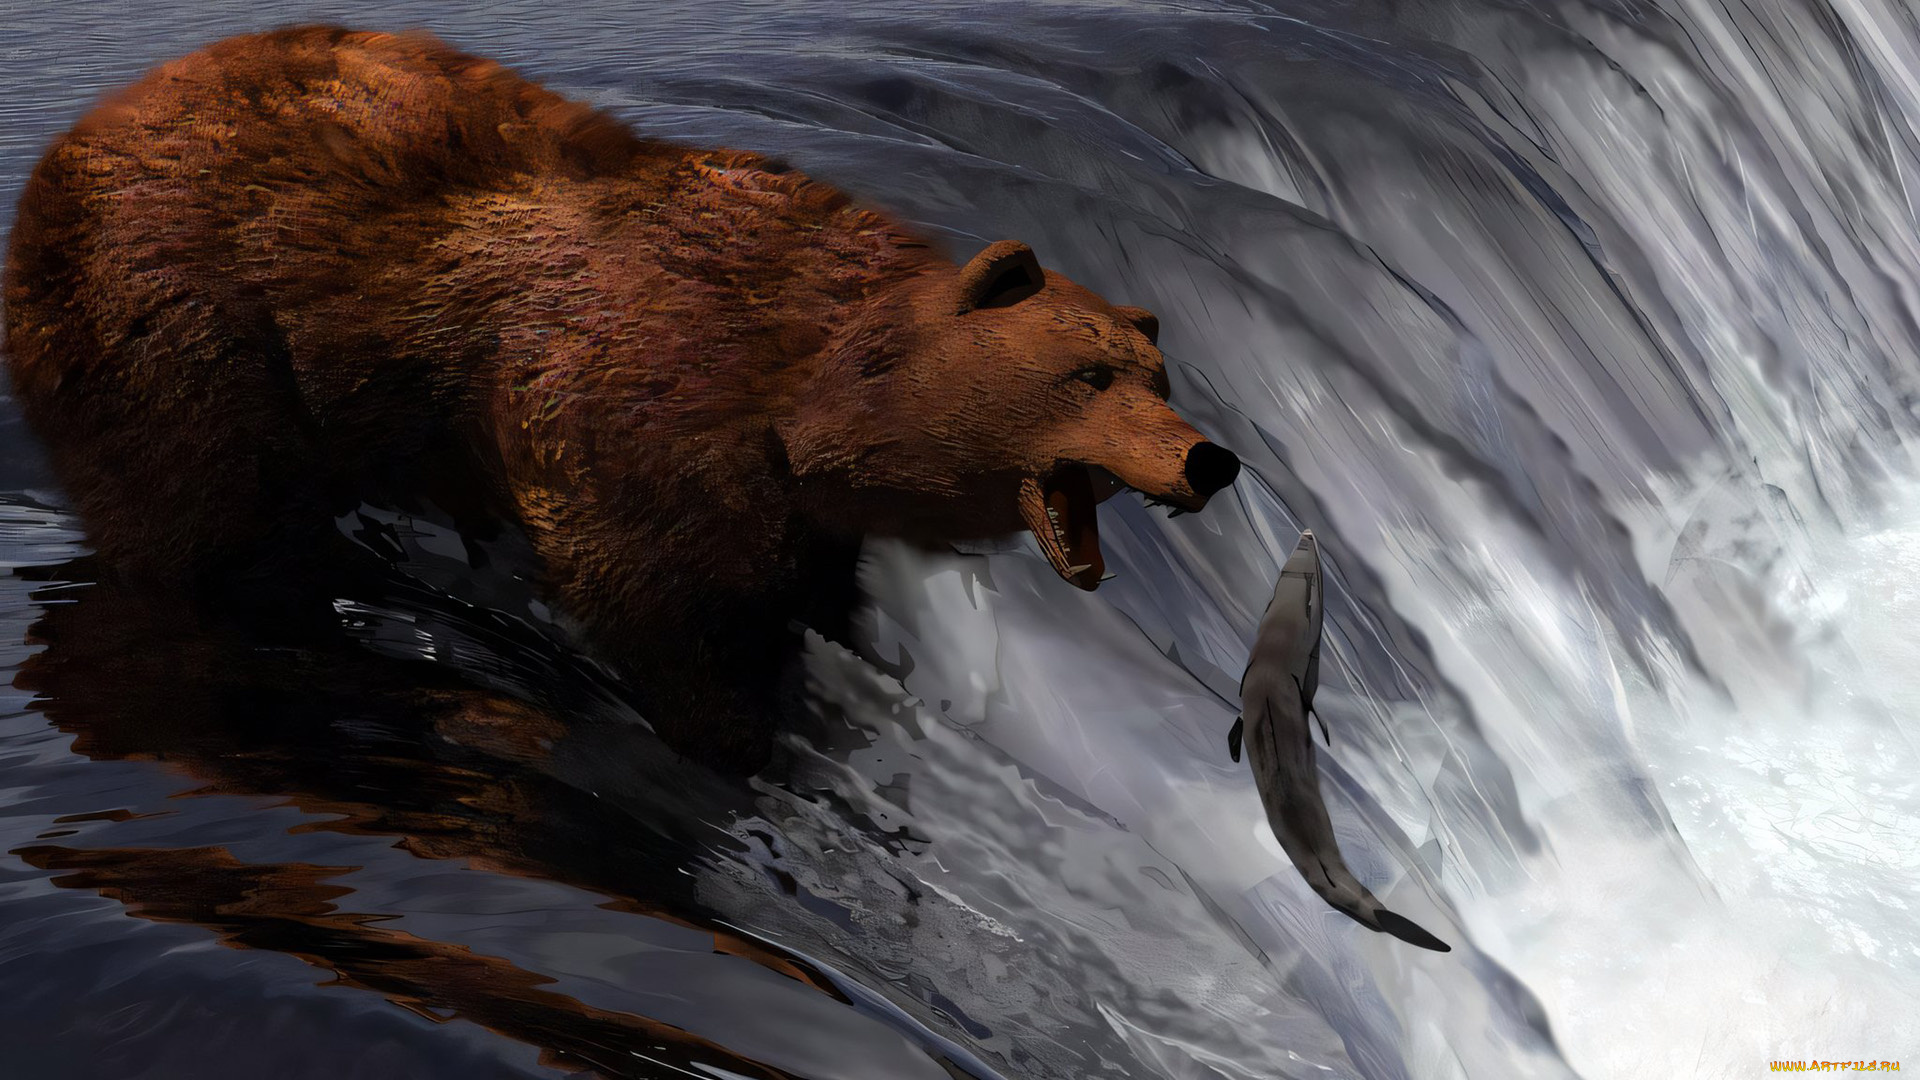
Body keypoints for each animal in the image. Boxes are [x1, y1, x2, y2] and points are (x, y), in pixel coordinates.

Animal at [2, 26, 1241, 772]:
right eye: (1086, 374)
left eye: (1158, 376)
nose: (1213, 458)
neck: (802, 383)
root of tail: (70, 140)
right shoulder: (639, 405)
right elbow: (655, 592)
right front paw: (732, 725)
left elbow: (802, 581)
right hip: (174, 319)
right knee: (196, 513)